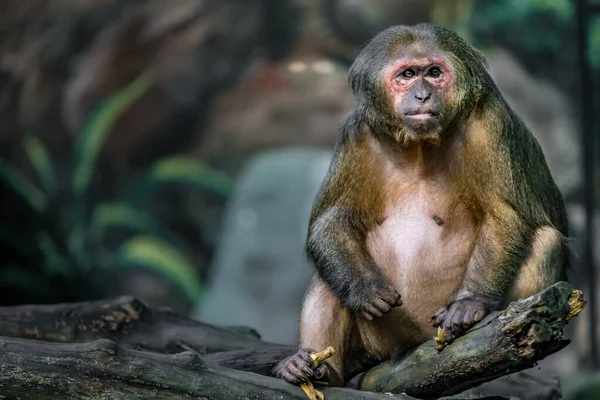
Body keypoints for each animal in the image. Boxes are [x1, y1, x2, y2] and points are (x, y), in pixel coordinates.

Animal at [272, 22, 572, 388]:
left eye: (433, 73)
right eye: (408, 74)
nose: (423, 95)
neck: (419, 145)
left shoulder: (490, 124)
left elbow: (503, 214)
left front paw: (470, 303)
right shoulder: (357, 132)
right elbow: (331, 221)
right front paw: (364, 289)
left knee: (547, 240)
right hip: (380, 339)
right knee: (328, 277)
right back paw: (317, 370)